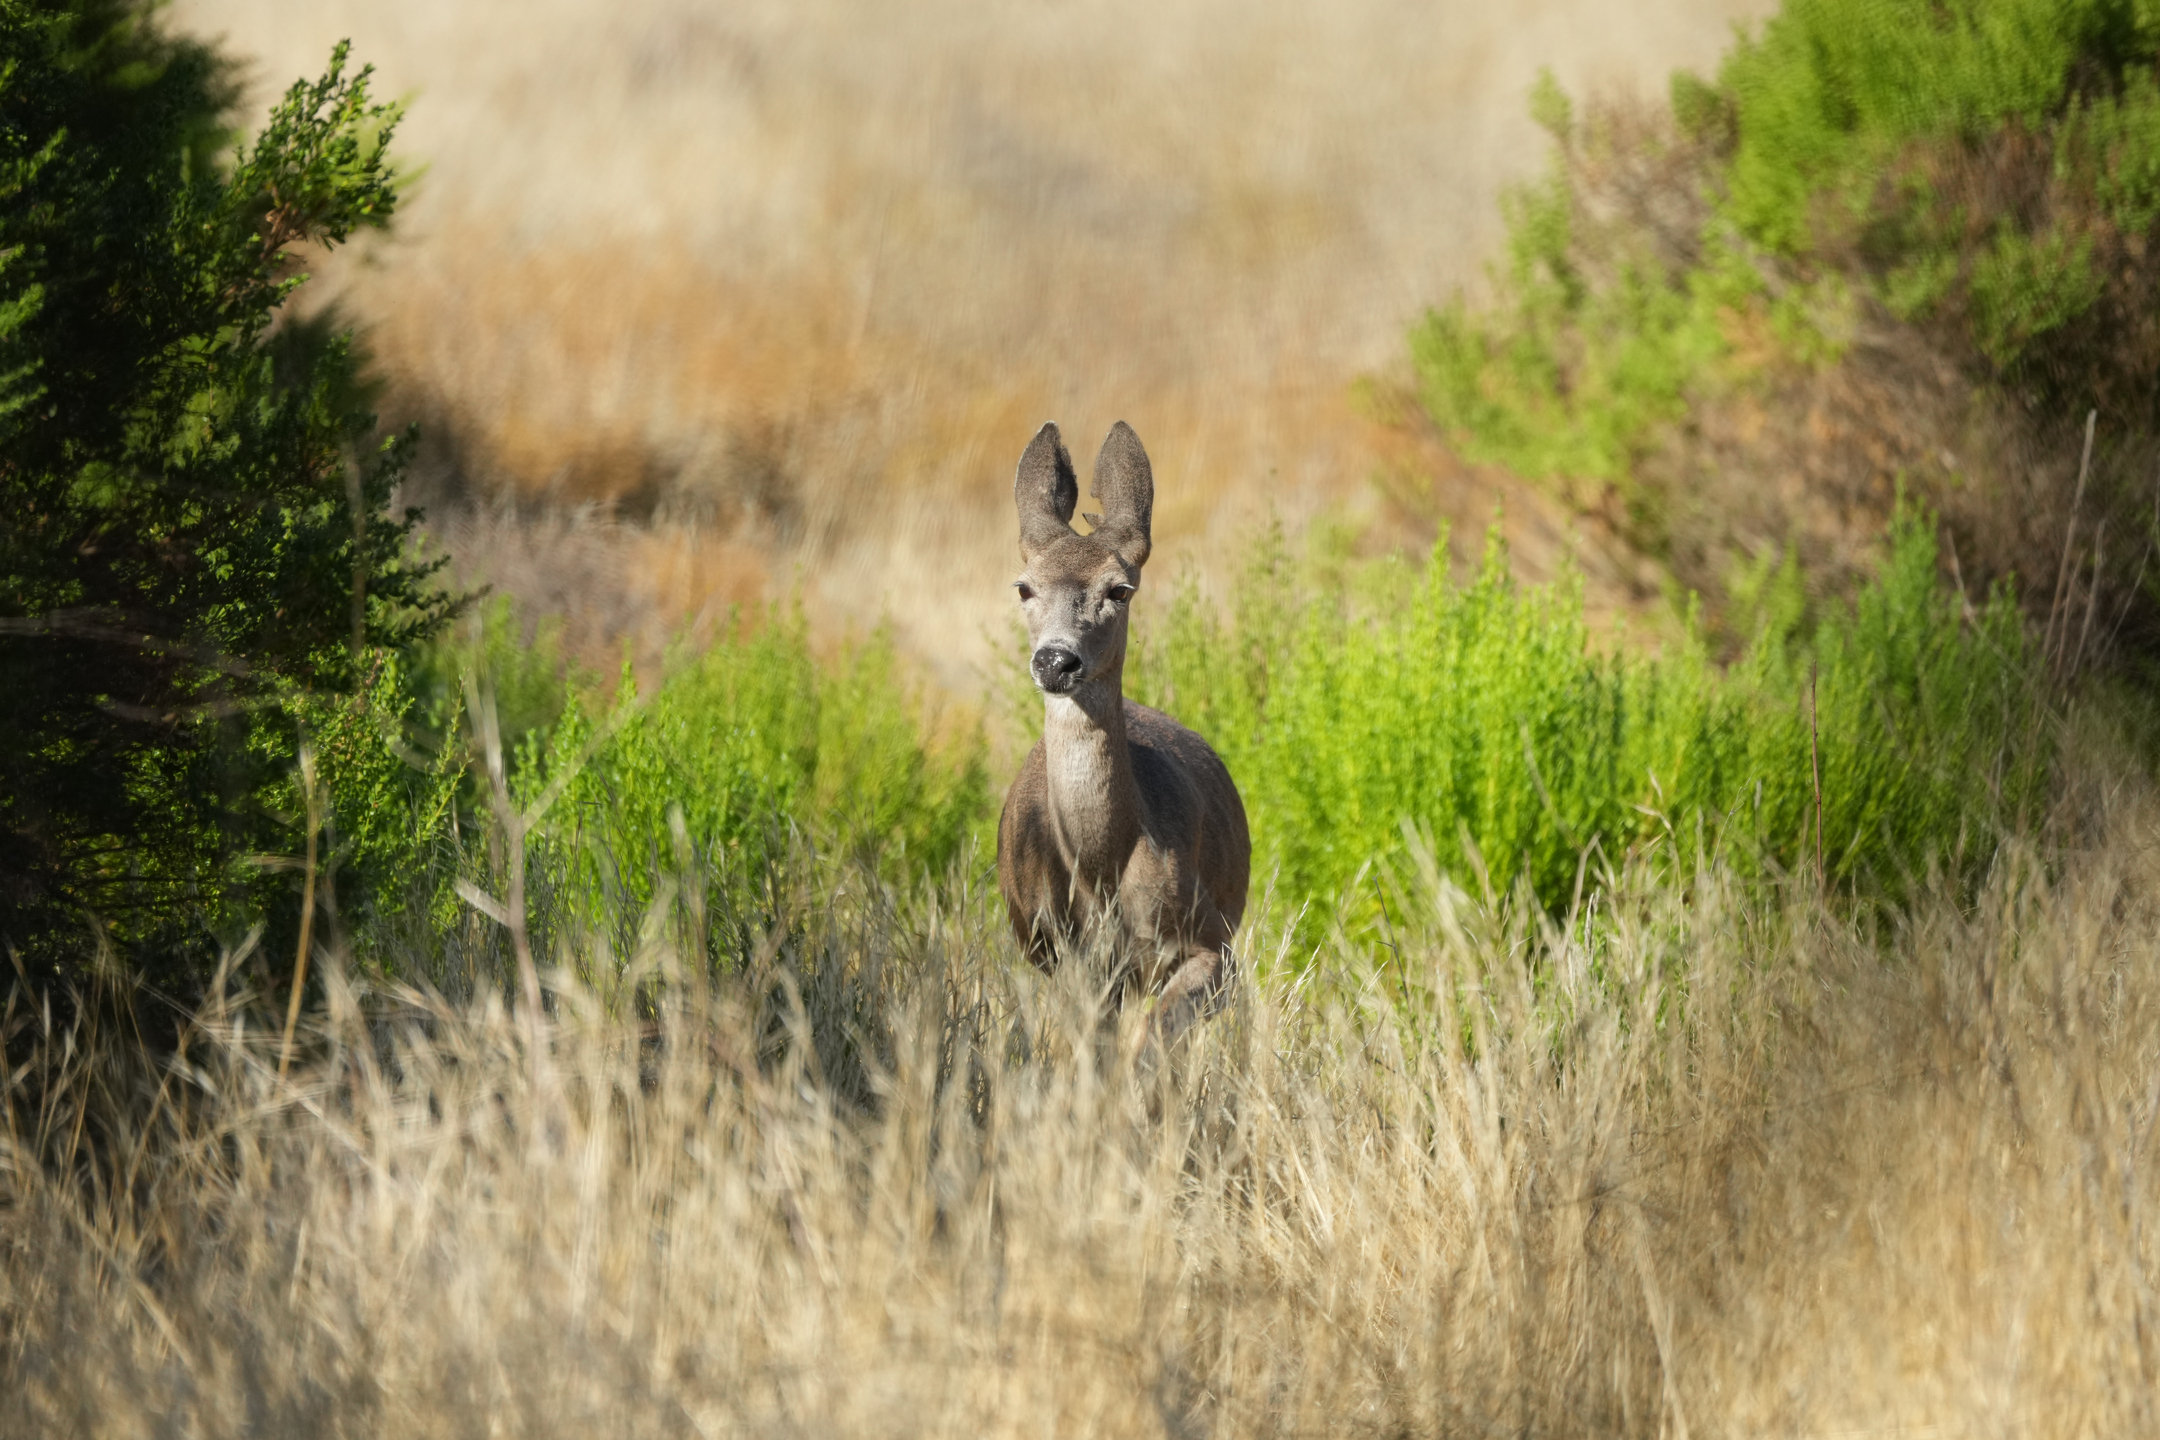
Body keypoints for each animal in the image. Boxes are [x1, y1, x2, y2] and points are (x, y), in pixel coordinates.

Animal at [996, 420, 1250, 1042]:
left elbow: (1159, 1033)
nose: (1055, 659)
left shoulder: (1212, 941)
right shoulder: (1064, 959)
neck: (1100, 869)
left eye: (1119, 589)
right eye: (1023, 587)